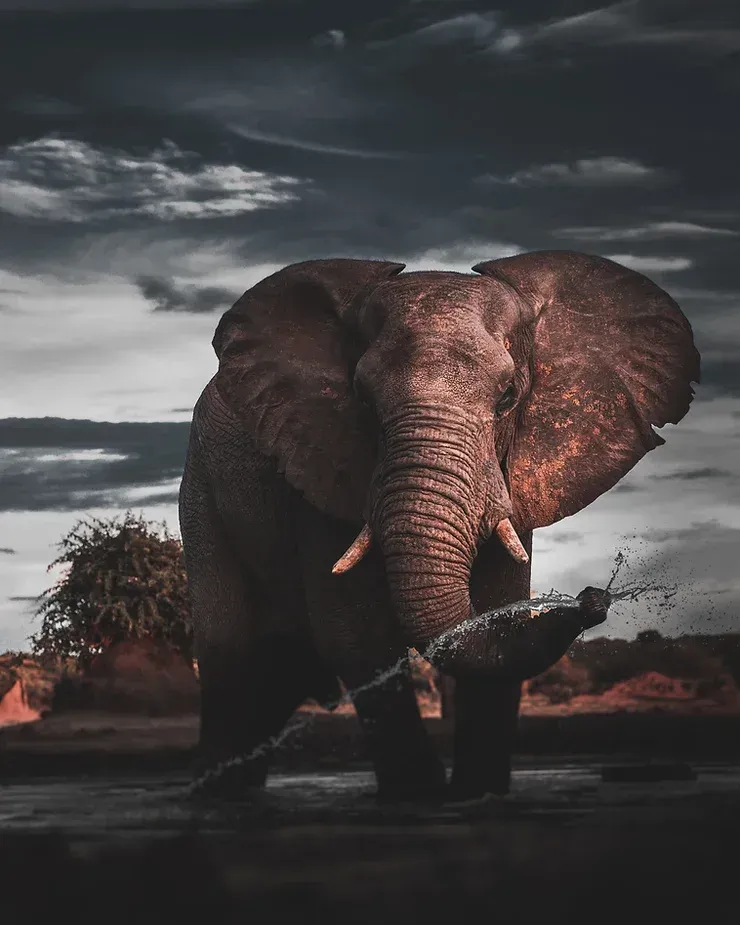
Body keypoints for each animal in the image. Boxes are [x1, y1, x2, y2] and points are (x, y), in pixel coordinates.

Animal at [179, 250, 699, 802]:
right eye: (362, 398)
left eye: (509, 396)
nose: (592, 599)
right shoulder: (319, 467)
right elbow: (357, 636)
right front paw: (419, 797)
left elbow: (496, 610)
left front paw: (478, 794)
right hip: (203, 495)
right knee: (232, 662)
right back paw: (217, 798)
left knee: (281, 675)